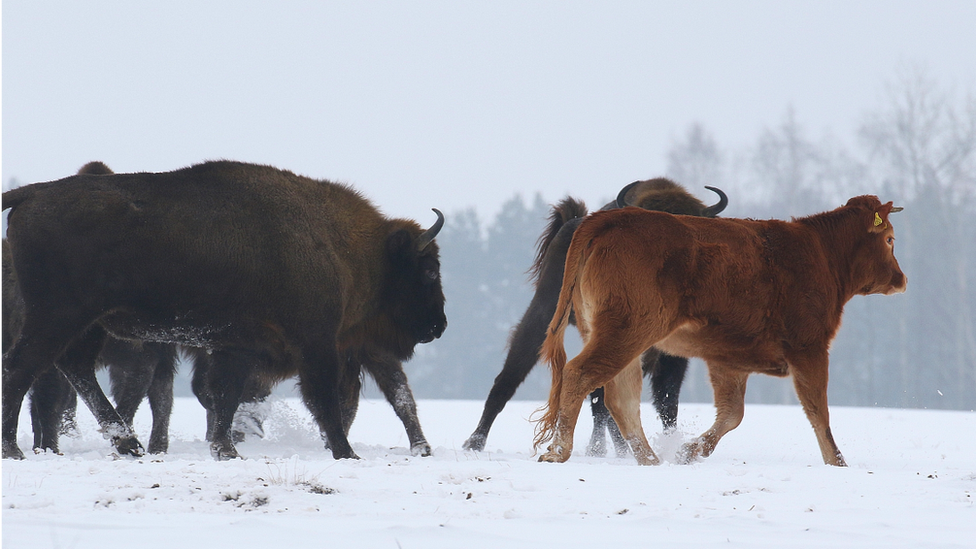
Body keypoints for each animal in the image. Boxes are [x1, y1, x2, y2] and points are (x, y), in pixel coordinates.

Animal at [1, 158, 446, 458]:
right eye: (428, 270)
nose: (439, 325)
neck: (340, 243)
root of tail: (36, 191)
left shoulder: (238, 345)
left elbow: (226, 396)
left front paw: (225, 450)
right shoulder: (315, 342)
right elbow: (322, 398)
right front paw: (345, 453)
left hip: (87, 323)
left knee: (72, 368)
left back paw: (129, 444)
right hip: (59, 317)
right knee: (23, 369)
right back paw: (14, 449)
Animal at [532, 195, 908, 464]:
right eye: (889, 239)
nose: (901, 279)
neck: (822, 254)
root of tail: (605, 219)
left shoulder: (729, 358)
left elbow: (732, 414)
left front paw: (689, 452)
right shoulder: (809, 346)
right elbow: (818, 412)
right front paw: (837, 462)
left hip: (619, 334)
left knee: (619, 395)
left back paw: (651, 460)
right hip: (626, 330)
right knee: (580, 374)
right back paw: (558, 451)